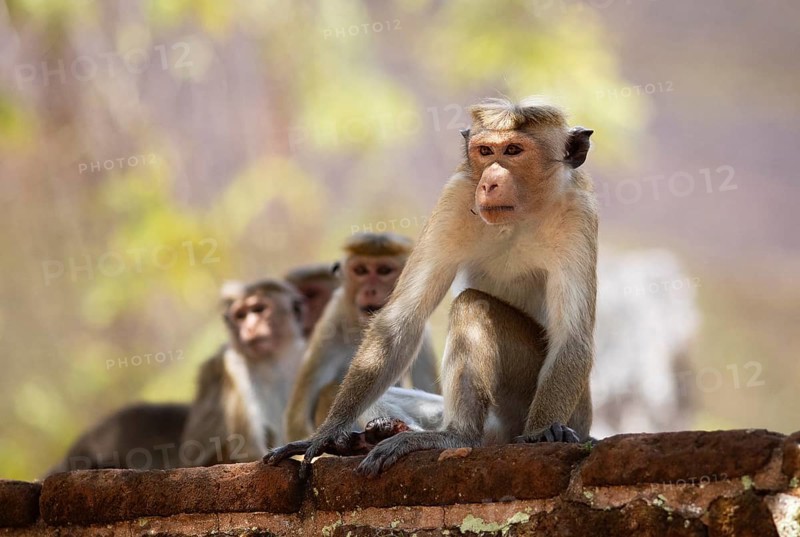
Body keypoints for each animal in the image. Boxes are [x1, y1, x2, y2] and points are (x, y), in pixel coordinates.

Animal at [181, 278, 306, 466]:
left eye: (259, 309)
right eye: (240, 316)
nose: (250, 328)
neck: (271, 361)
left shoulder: (303, 356)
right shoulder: (233, 365)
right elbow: (246, 448)